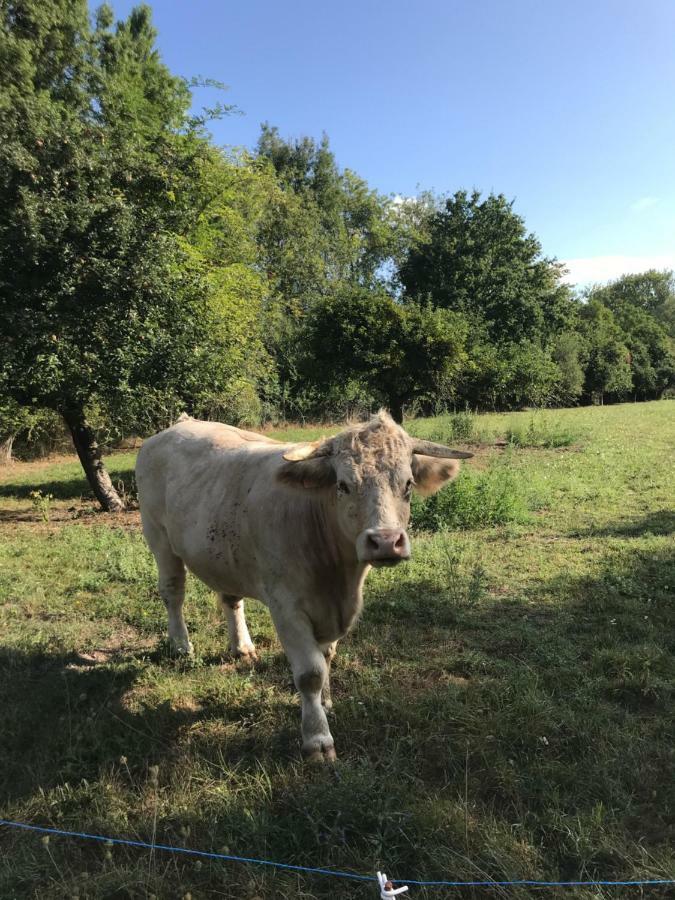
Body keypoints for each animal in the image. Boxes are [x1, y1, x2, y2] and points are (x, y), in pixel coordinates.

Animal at [136, 414, 476, 760]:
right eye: (343, 486)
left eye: (407, 484)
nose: (385, 542)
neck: (337, 576)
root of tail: (177, 426)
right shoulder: (286, 607)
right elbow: (310, 673)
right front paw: (317, 739)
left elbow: (325, 659)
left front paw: (325, 703)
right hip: (158, 536)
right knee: (173, 591)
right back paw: (181, 645)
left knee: (230, 598)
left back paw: (242, 646)